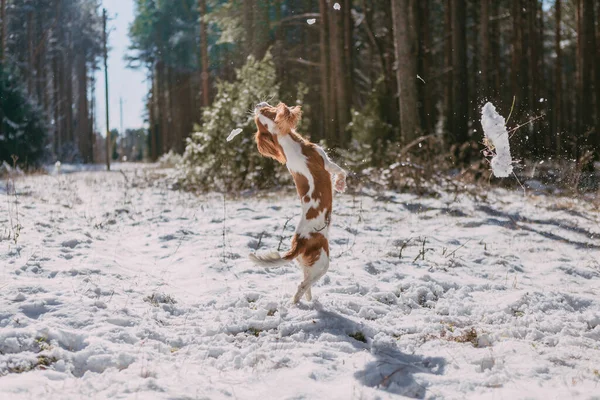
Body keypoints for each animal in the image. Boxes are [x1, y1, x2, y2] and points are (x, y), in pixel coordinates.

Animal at [248, 101, 346, 304]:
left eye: (264, 111)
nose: (257, 104)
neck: (287, 142)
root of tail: (298, 244)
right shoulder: (325, 161)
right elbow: (341, 171)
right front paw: (340, 184)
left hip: (308, 263)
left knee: (306, 281)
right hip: (323, 262)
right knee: (302, 285)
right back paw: (298, 302)